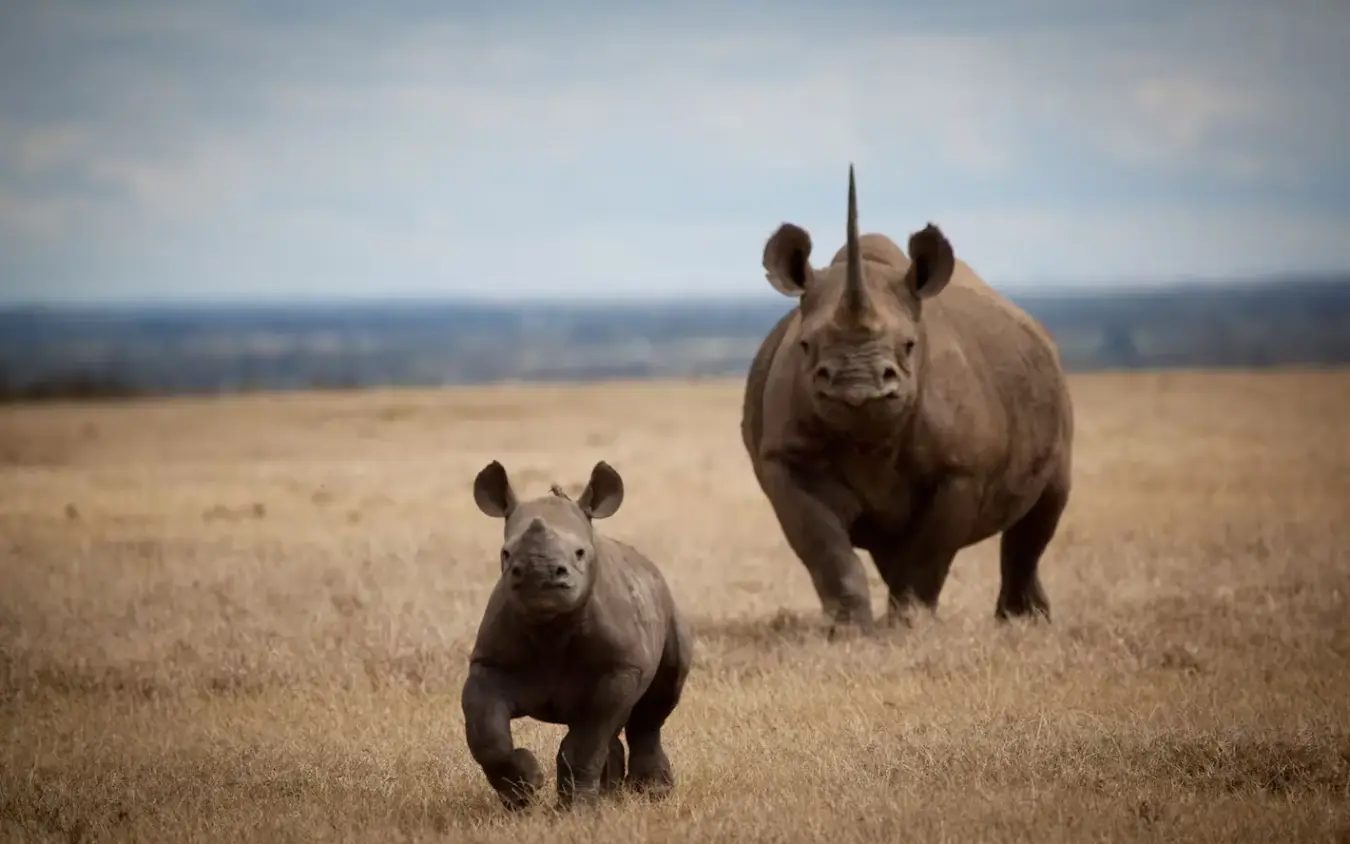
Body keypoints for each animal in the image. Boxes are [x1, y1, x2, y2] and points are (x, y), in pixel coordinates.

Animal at [461, 460, 693, 811]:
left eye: (580, 553)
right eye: (505, 553)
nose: (539, 575)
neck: (552, 626)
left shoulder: (619, 669)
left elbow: (586, 741)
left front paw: (576, 811)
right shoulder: (489, 664)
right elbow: (487, 733)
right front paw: (523, 793)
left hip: (668, 613)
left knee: (654, 706)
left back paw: (651, 793)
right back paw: (611, 793)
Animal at [740, 165, 1075, 636]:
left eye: (910, 345)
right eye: (805, 346)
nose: (857, 385)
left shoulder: (961, 471)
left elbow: (931, 551)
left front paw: (909, 628)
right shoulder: (785, 459)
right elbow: (826, 549)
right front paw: (850, 633)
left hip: (1055, 395)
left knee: (1043, 511)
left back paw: (1022, 623)